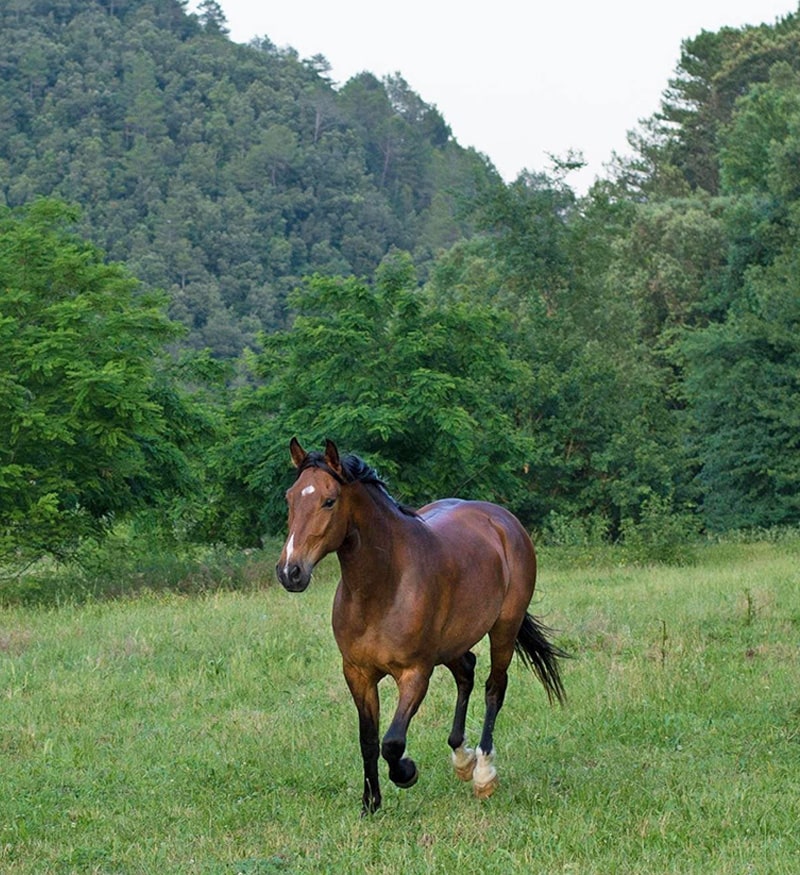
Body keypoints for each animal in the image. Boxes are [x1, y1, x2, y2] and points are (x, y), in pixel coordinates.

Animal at [278, 438, 564, 816]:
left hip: (504, 628)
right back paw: (462, 758)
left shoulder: (415, 674)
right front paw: (370, 804)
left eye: (329, 500)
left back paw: (483, 773)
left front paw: (406, 773)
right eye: (290, 498)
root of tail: (503, 521)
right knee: (467, 671)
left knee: (493, 688)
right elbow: (368, 740)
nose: (290, 572)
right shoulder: (357, 673)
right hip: (453, 642)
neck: (383, 589)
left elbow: (392, 742)